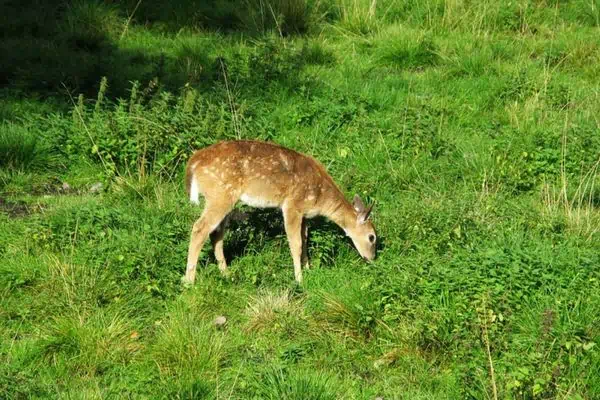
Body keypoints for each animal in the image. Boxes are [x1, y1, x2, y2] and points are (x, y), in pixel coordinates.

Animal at [183, 141, 376, 284]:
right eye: (372, 237)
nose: (372, 259)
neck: (320, 197)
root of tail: (193, 163)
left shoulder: (304, 214)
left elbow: (305, 239)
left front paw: (308, 269)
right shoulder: (292, 205)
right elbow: (296, 243)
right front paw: (299, 279)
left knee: (216, 233)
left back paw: (226, 273)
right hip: (220, 194)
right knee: (200, 228)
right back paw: (189, 281)